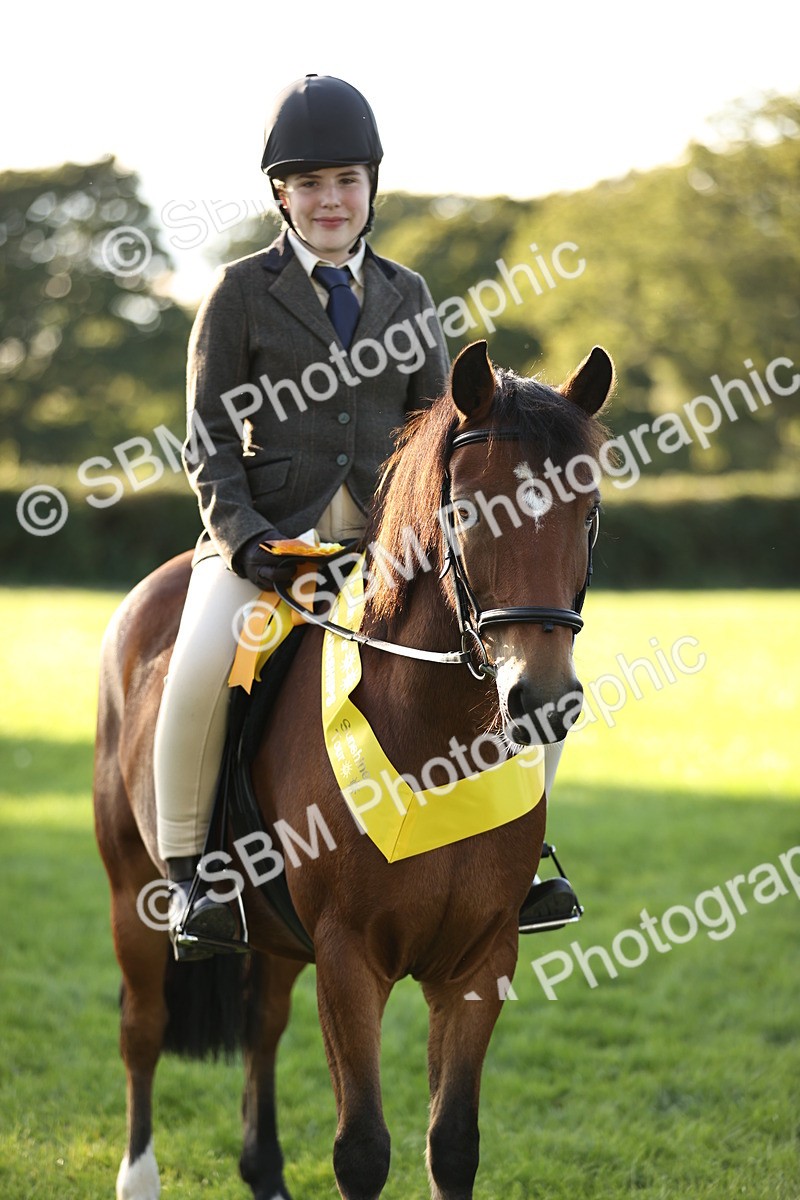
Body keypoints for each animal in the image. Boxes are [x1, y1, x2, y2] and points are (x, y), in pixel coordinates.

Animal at [93, 338, 613, 1200]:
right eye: (467, 512)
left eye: (589, 509)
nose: (539, 698)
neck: (436, 744)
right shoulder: (347, 959)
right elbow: (362, 1150)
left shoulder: (480, 959)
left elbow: (454, 1143)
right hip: (134, 887)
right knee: (142, 1029)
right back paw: (139, 1176)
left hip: (274, 934)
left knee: (262, 1027)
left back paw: (264, 1171)